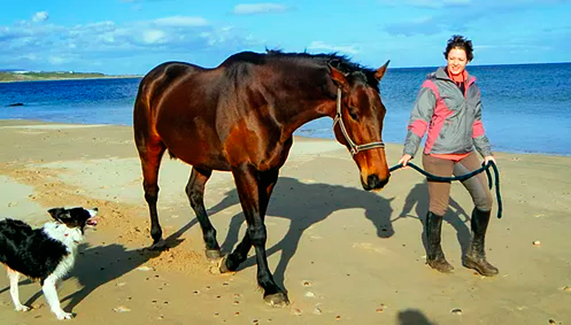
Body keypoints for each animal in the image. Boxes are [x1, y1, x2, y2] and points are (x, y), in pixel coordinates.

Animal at [134, 49, 394, 306]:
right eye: (353, 113)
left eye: (382, 111)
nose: (378, 177)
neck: (264, 103)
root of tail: (153, 77)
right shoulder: (243, 170)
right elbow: (258, 230)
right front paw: (270, 286)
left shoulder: (269, 172)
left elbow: (253, 227)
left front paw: (231, 261)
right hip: (149, 147)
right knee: (151, 192)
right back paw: (157, 239)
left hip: (202, 159)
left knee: (194, 193)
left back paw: (212, 246)